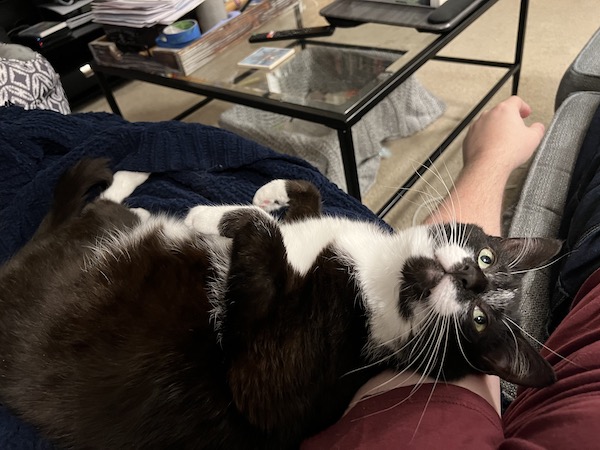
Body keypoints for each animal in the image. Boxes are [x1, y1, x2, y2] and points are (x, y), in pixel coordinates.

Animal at [0, 158, 564, 446]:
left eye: (479, 322)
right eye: (488, 256)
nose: (470, 279)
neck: (378, 273)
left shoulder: (275, 384)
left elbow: (261, 239)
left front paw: (217, 216)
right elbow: (308, 193)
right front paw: (269, 193)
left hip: (85, 246)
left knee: (100, 212)